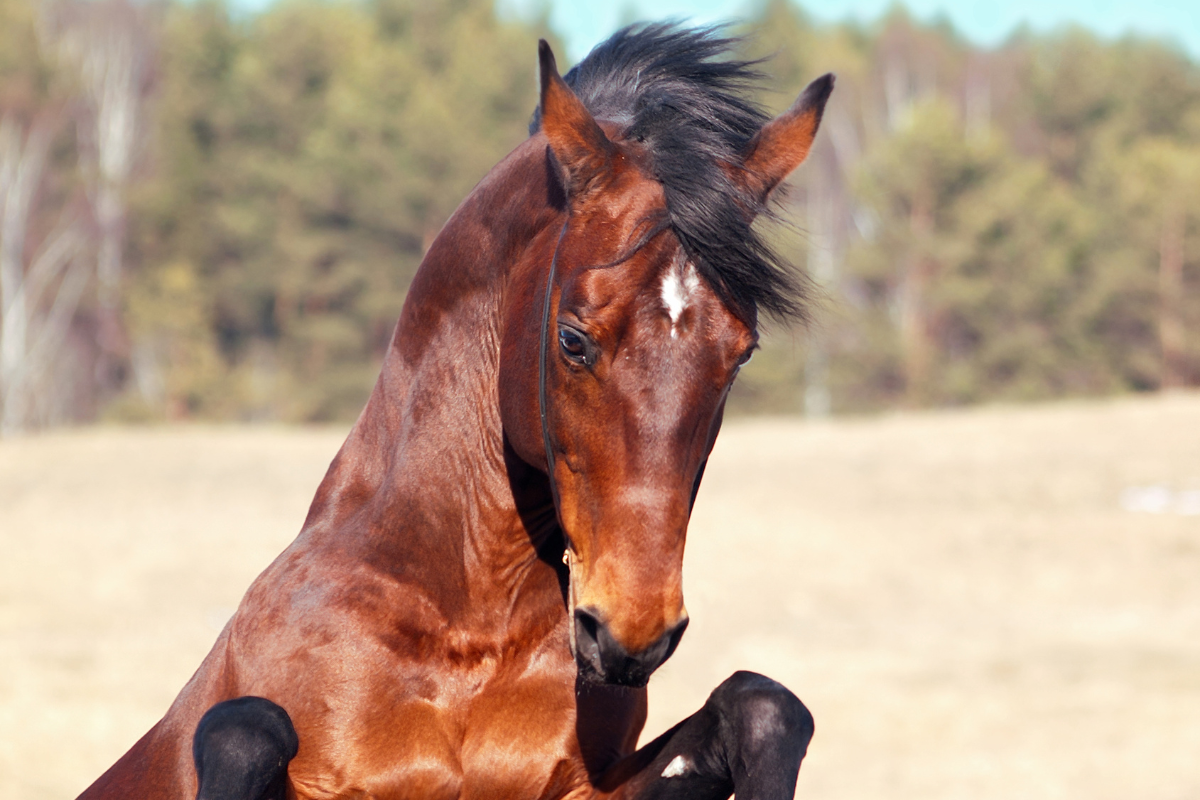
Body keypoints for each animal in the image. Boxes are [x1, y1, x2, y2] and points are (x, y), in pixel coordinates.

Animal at [78, 24, 832, 800]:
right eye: (572, 338)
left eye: (741, 354)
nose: (631, 632)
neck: (468, 632)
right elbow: (245, 727)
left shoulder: (590, 786)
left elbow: (765, 702)